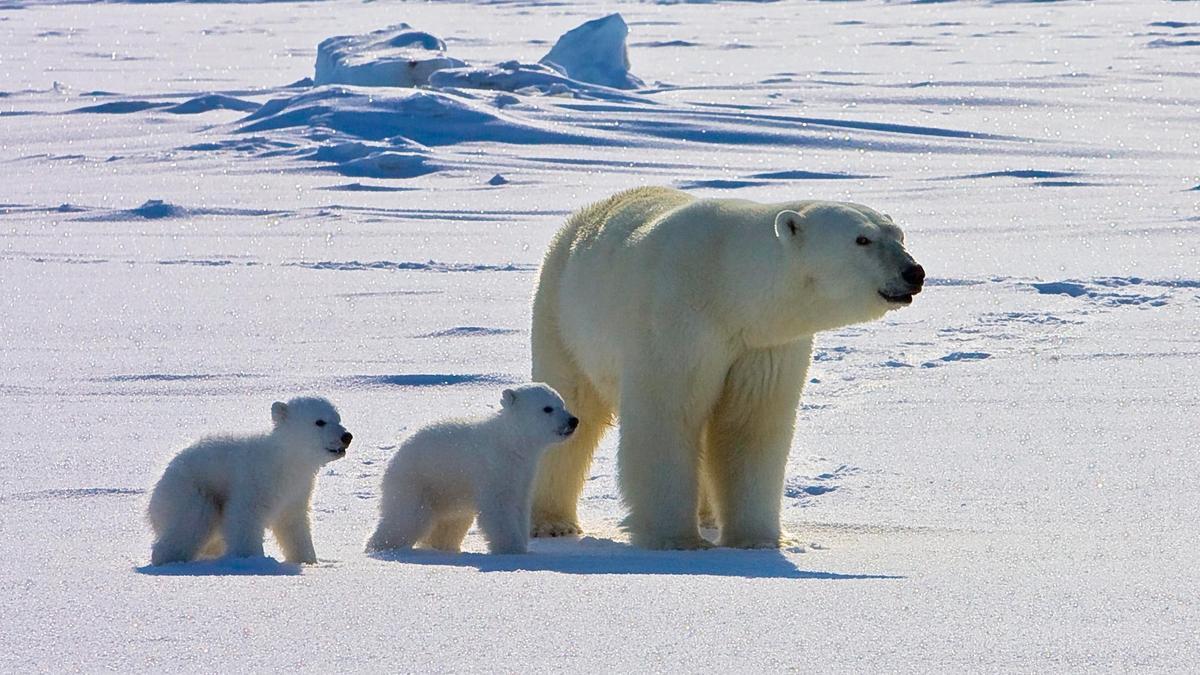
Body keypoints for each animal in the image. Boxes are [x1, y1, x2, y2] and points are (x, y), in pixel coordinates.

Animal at [146, 393, 350, 562]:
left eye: (338, 418)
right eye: (319, 421)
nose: (347, 436)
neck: (284, 461)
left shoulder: (297, 491)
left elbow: (293, 525)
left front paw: (307, 560)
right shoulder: (255, 480)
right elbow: (244, 517)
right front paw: (250, 559)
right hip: (191, 490)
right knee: (192, 521)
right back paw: (168, 558)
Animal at [364, 384, 576, 552]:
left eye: (562, 403)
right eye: (547, 408)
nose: (573, 420)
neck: (510, 442)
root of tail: (394, 460)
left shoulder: (523, 474)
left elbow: (520, 506)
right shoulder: (493, 468)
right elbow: (499, 509)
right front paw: (512, 549)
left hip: (448, 494)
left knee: (450, 524)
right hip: (418, 482)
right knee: (405, 518)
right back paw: (379, 546)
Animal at [530, 183, 921, 547]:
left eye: (899, 235)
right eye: (862, 239)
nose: (914, 272)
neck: (726, 286)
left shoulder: (763, 345)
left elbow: (749, 424)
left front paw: (757, 540)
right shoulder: (676, 324)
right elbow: (668, 417)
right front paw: (676, 539)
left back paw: (707, 515)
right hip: (562, 316)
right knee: (572, 404)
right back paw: (552, 523)